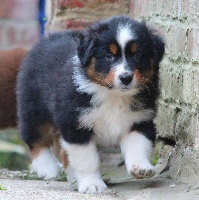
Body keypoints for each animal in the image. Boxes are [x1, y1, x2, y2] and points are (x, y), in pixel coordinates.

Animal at [16, 16, 165, 195]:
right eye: (109, 56)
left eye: (137, 55)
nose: (126, 78)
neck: (113, 95)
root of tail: (48, 38)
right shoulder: (75, 125)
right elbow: (87, 160)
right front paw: (92, 185)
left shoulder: (139, 119)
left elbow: (138, 145)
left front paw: (141, 167)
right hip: (34, 108)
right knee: (35, 138)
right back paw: (48, 168)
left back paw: (73, 179)